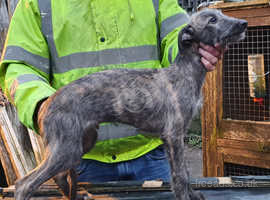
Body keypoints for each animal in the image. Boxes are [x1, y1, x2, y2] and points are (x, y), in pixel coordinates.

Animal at [14, 8, 247, 200]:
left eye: (221, 15)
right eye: (212, 20)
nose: (243, 23)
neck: (184, 72)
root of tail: (49, 101)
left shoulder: (171, 138)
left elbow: (183, 173)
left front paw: (193, 194)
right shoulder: (174, 136)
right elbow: (180, 175)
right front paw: (185, 196)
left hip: (81, 142)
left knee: (60, 177)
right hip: (67, 148)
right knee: (24, 184)